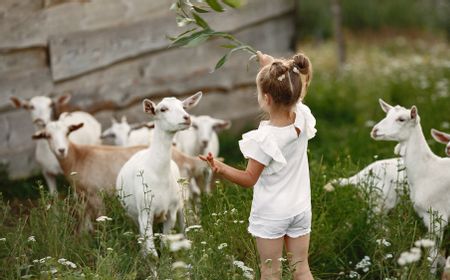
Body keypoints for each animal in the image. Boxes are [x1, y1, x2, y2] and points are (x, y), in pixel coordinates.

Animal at [116, 92, 202, 256]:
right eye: (162, 109)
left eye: (183, 106)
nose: (186, 118)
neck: (158, 174)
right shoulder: (145, 213)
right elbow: (152, 252)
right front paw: (151, 261)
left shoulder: (171, 212)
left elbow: (165, 245)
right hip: (134, 215)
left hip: (181, 203)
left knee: (184, 227)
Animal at [370, 99, 448, 272]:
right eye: (386, 114)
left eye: (401, 119)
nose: (374, 131)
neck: (427, 171)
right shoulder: (426, 216)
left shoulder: (438, 217)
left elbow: (433, 256)